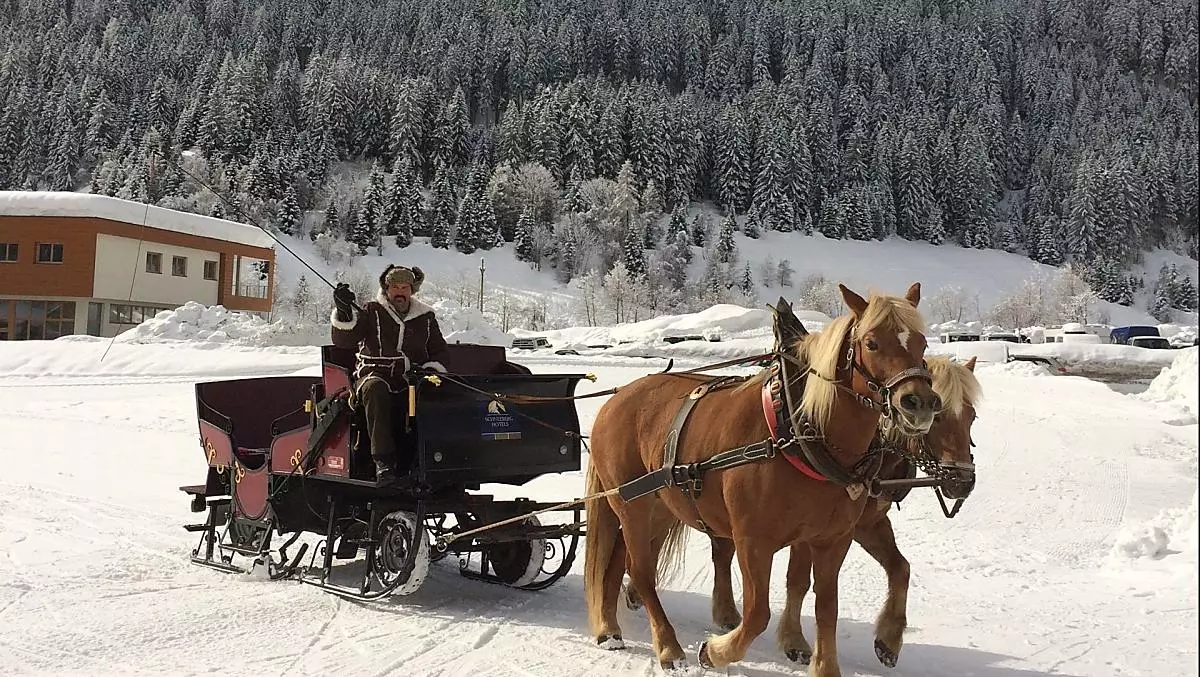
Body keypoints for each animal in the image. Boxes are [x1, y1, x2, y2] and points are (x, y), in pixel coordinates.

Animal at [583, 283, 940, 676]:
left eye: (922, 342)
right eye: (872, 343)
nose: (920, 403)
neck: (799, 432)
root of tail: (615, 400)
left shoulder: (832, 539)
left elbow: (826, 608)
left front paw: (828, 663)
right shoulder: (752, 541)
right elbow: (757, 614)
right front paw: (715, 651)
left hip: (660, 508)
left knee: (616, 561)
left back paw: (609, 627)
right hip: (630, 504)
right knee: (641, 571)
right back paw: (667, 647)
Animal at [625, 353, 984, 669]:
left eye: (972, 416)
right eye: (938, 415)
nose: (962, 481)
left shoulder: (865, 523)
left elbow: (899, 569)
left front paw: (888, 641)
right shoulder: (835, 528)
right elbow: (799, 580)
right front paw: (794, 639)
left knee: (707, 550)